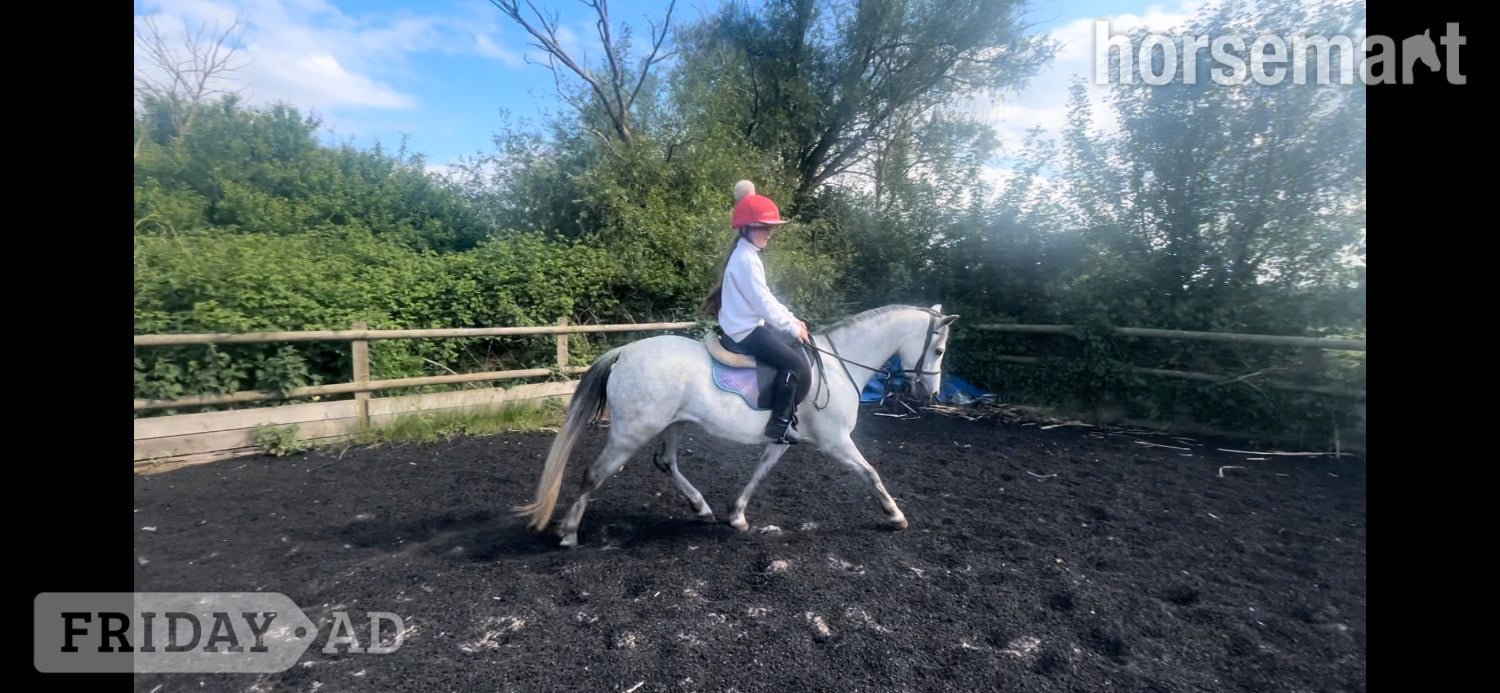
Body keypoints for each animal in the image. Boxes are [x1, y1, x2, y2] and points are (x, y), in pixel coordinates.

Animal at [512, 303, 960, 547]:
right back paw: (569, 533)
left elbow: (760, 472)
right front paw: (895, 515)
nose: (932, 393)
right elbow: (871, 473)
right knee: (594, 474)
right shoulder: (836, 441)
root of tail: (624, 352)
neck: (839, 364)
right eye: (939, 350)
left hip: (674, 423)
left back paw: (701, 508)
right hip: (630, 433)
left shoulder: (783, 439)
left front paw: (738, 516)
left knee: (665, 462)